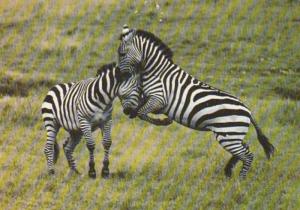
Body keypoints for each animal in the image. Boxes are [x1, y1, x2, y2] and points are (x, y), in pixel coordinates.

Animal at [41, 62, 170, 179]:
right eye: (139, 88)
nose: (134, 111)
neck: (103, 99)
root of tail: (54, 87)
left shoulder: (107, 121)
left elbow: (107, 143)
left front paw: (105, 171)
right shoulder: (85, 121)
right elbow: (91, 145)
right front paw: (92, 171)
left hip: (76, 130)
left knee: (67, 148)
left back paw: (75, 172)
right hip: (52, 122)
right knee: (48, 147)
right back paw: (51, 173)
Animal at [116, 25, 274, 179]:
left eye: (122, 54)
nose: (119, 75)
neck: (156, 71)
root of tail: (248, 111)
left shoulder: (158, 99)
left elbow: (141, 113)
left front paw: (163, 122)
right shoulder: (154, 102)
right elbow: (139, 109)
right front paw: (134, 110)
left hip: (228, 136)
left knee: (248, 156)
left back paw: (240, 180)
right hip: (233, 135)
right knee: (245, 149)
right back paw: (228, 172)